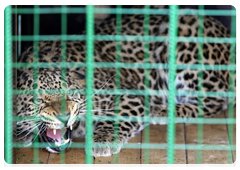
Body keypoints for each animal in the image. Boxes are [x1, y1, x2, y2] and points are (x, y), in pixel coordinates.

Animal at [15, 5, 238, 157]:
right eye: (38, 100)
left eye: (71, 94)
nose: (64, 117)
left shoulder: (127, 94)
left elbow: (116, 117)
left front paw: (102, 140)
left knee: (215, 102)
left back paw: (160, 111)